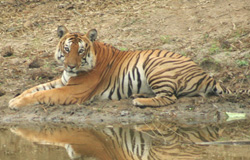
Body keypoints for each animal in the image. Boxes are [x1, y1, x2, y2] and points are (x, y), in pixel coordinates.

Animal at [7, 25, 244, 109]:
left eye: (80, 51)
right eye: (67, 49)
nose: (71, 66)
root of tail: (207, 74)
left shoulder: (73, 90)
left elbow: (40, 94)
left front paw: (16, 104)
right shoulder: (63, 80)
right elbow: (34, 88)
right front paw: (15, 97)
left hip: (155, 65)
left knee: (169, 97)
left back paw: (139, 101)